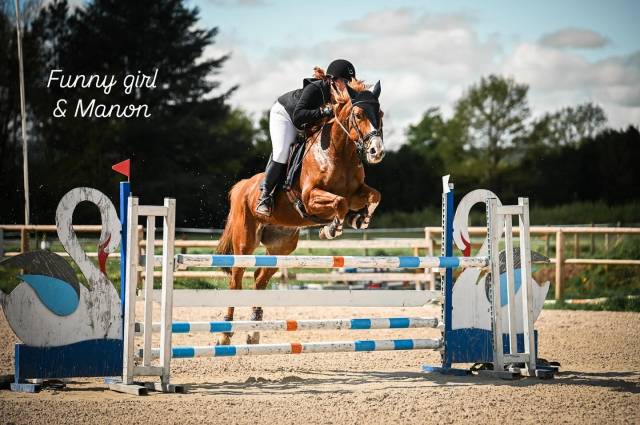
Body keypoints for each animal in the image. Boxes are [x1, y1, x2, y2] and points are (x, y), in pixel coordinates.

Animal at [215, 80, 385, 345]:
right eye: (358, 115)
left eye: (381, 114)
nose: (377, 151)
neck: (340, 153)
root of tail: (241, 186)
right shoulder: (309, 198)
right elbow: (339, 203)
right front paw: (330, 229)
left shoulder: (358, 192)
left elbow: (374, 196)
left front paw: (360, 219)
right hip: (245, 242)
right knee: (236, 278)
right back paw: (225, 334)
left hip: (281, 246)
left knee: (260, 278)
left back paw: (254, 330)